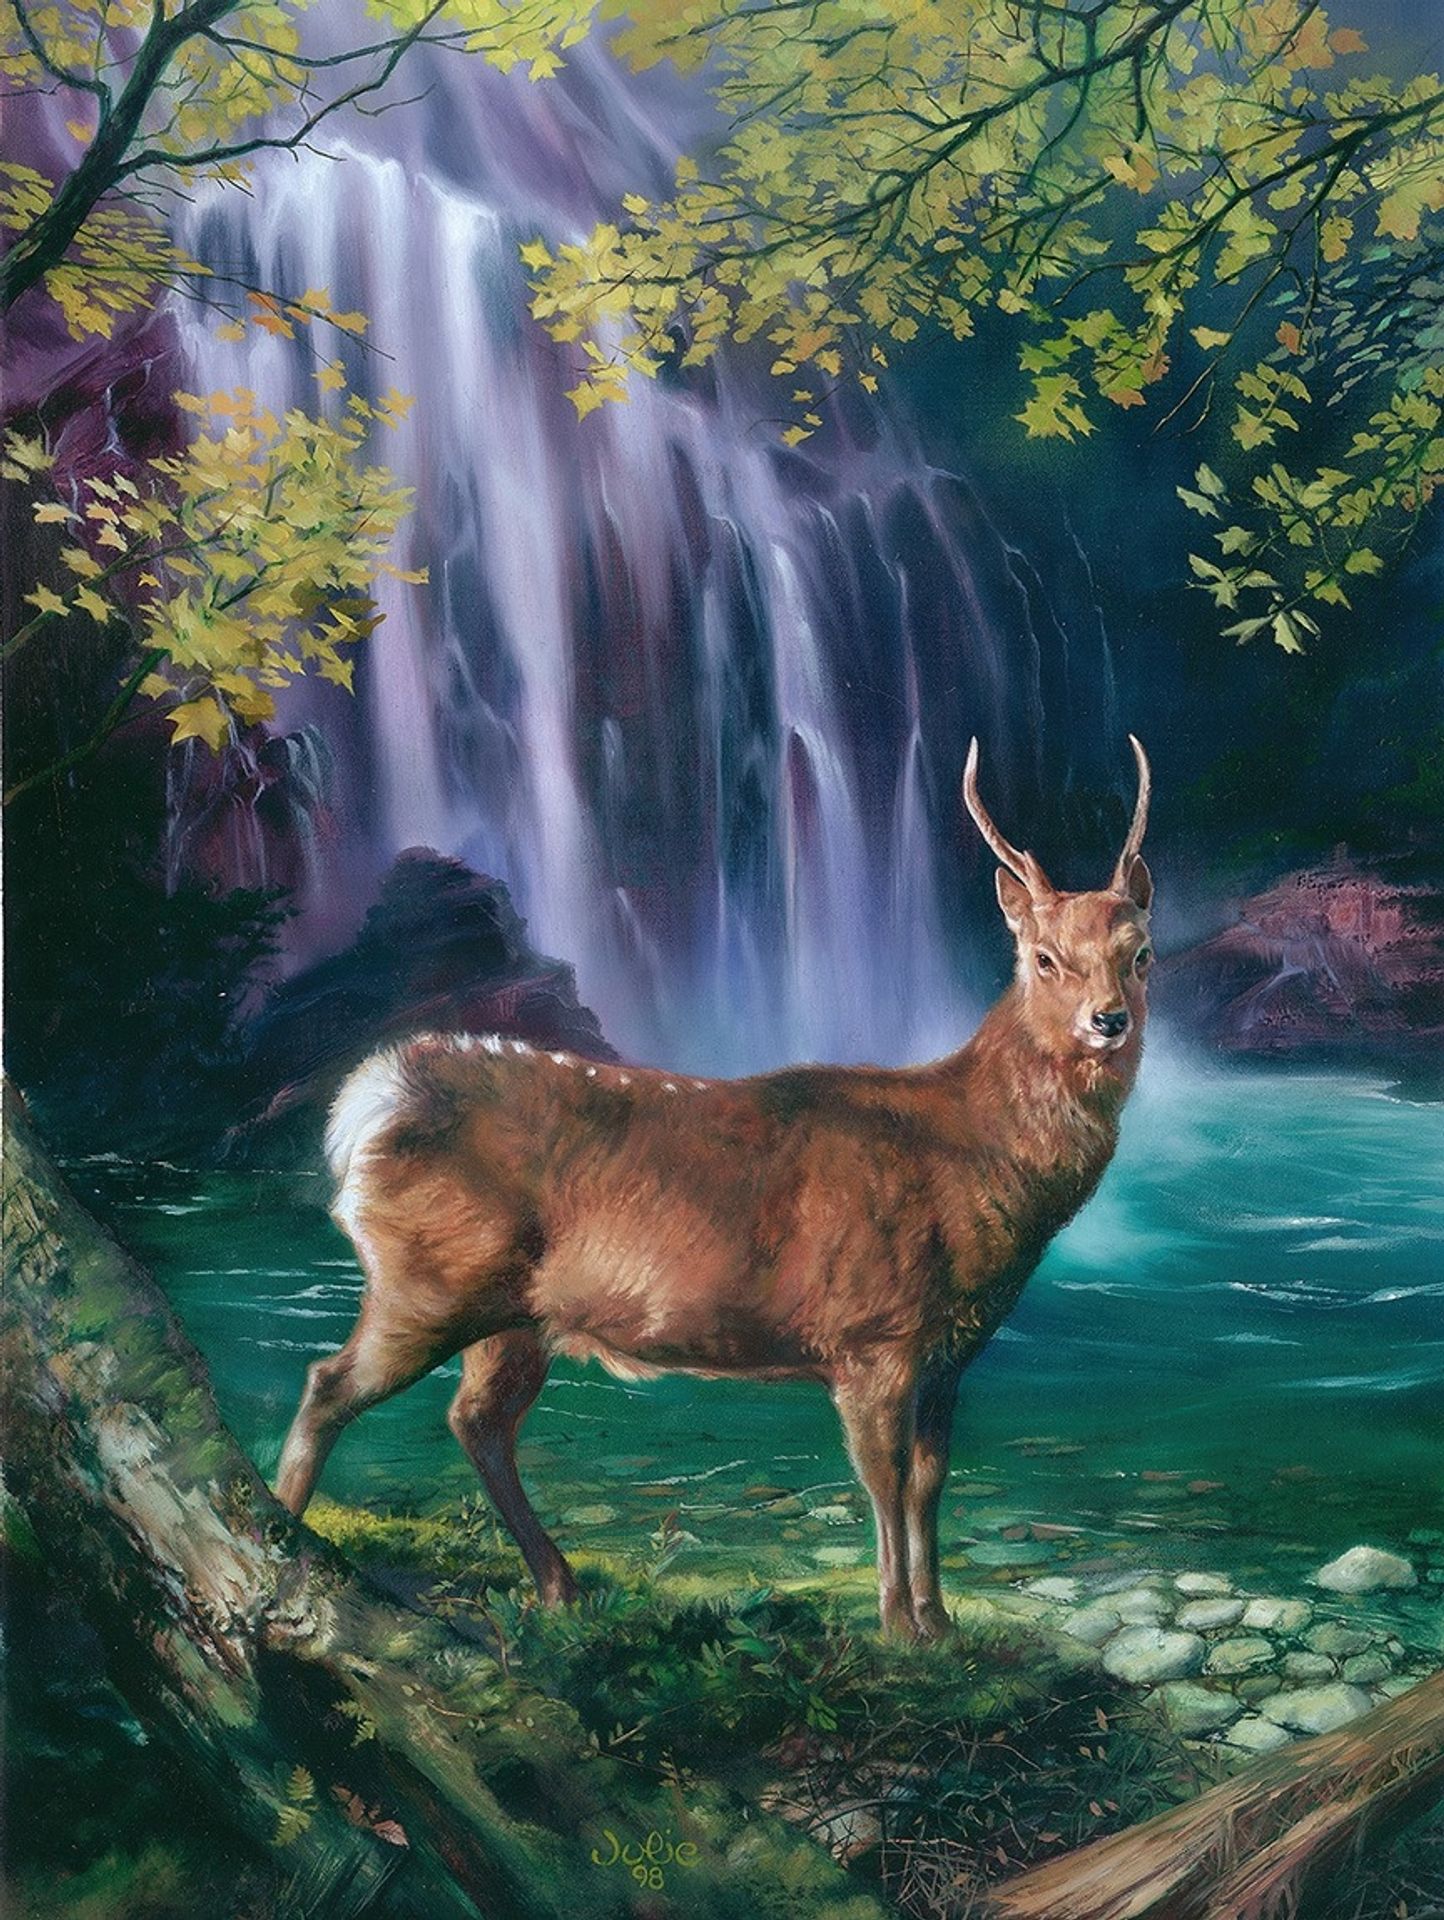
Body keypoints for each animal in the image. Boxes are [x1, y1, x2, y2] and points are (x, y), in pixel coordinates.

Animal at [275, 737, 1153, 1640]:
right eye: (1044, 958)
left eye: (1139, 954)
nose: (1108, 1020)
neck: (974, 1166)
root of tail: (369, 1102)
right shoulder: (871, 1334)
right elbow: (883, 1480)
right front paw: (899, 1628)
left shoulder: (948, 1355)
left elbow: (931, 1480)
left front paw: (939, 1625)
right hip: (427, 1280)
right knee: (329, 1385)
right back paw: (285, 1536)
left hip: (513, 1316)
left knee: (475, 1420)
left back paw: (560, 1586)